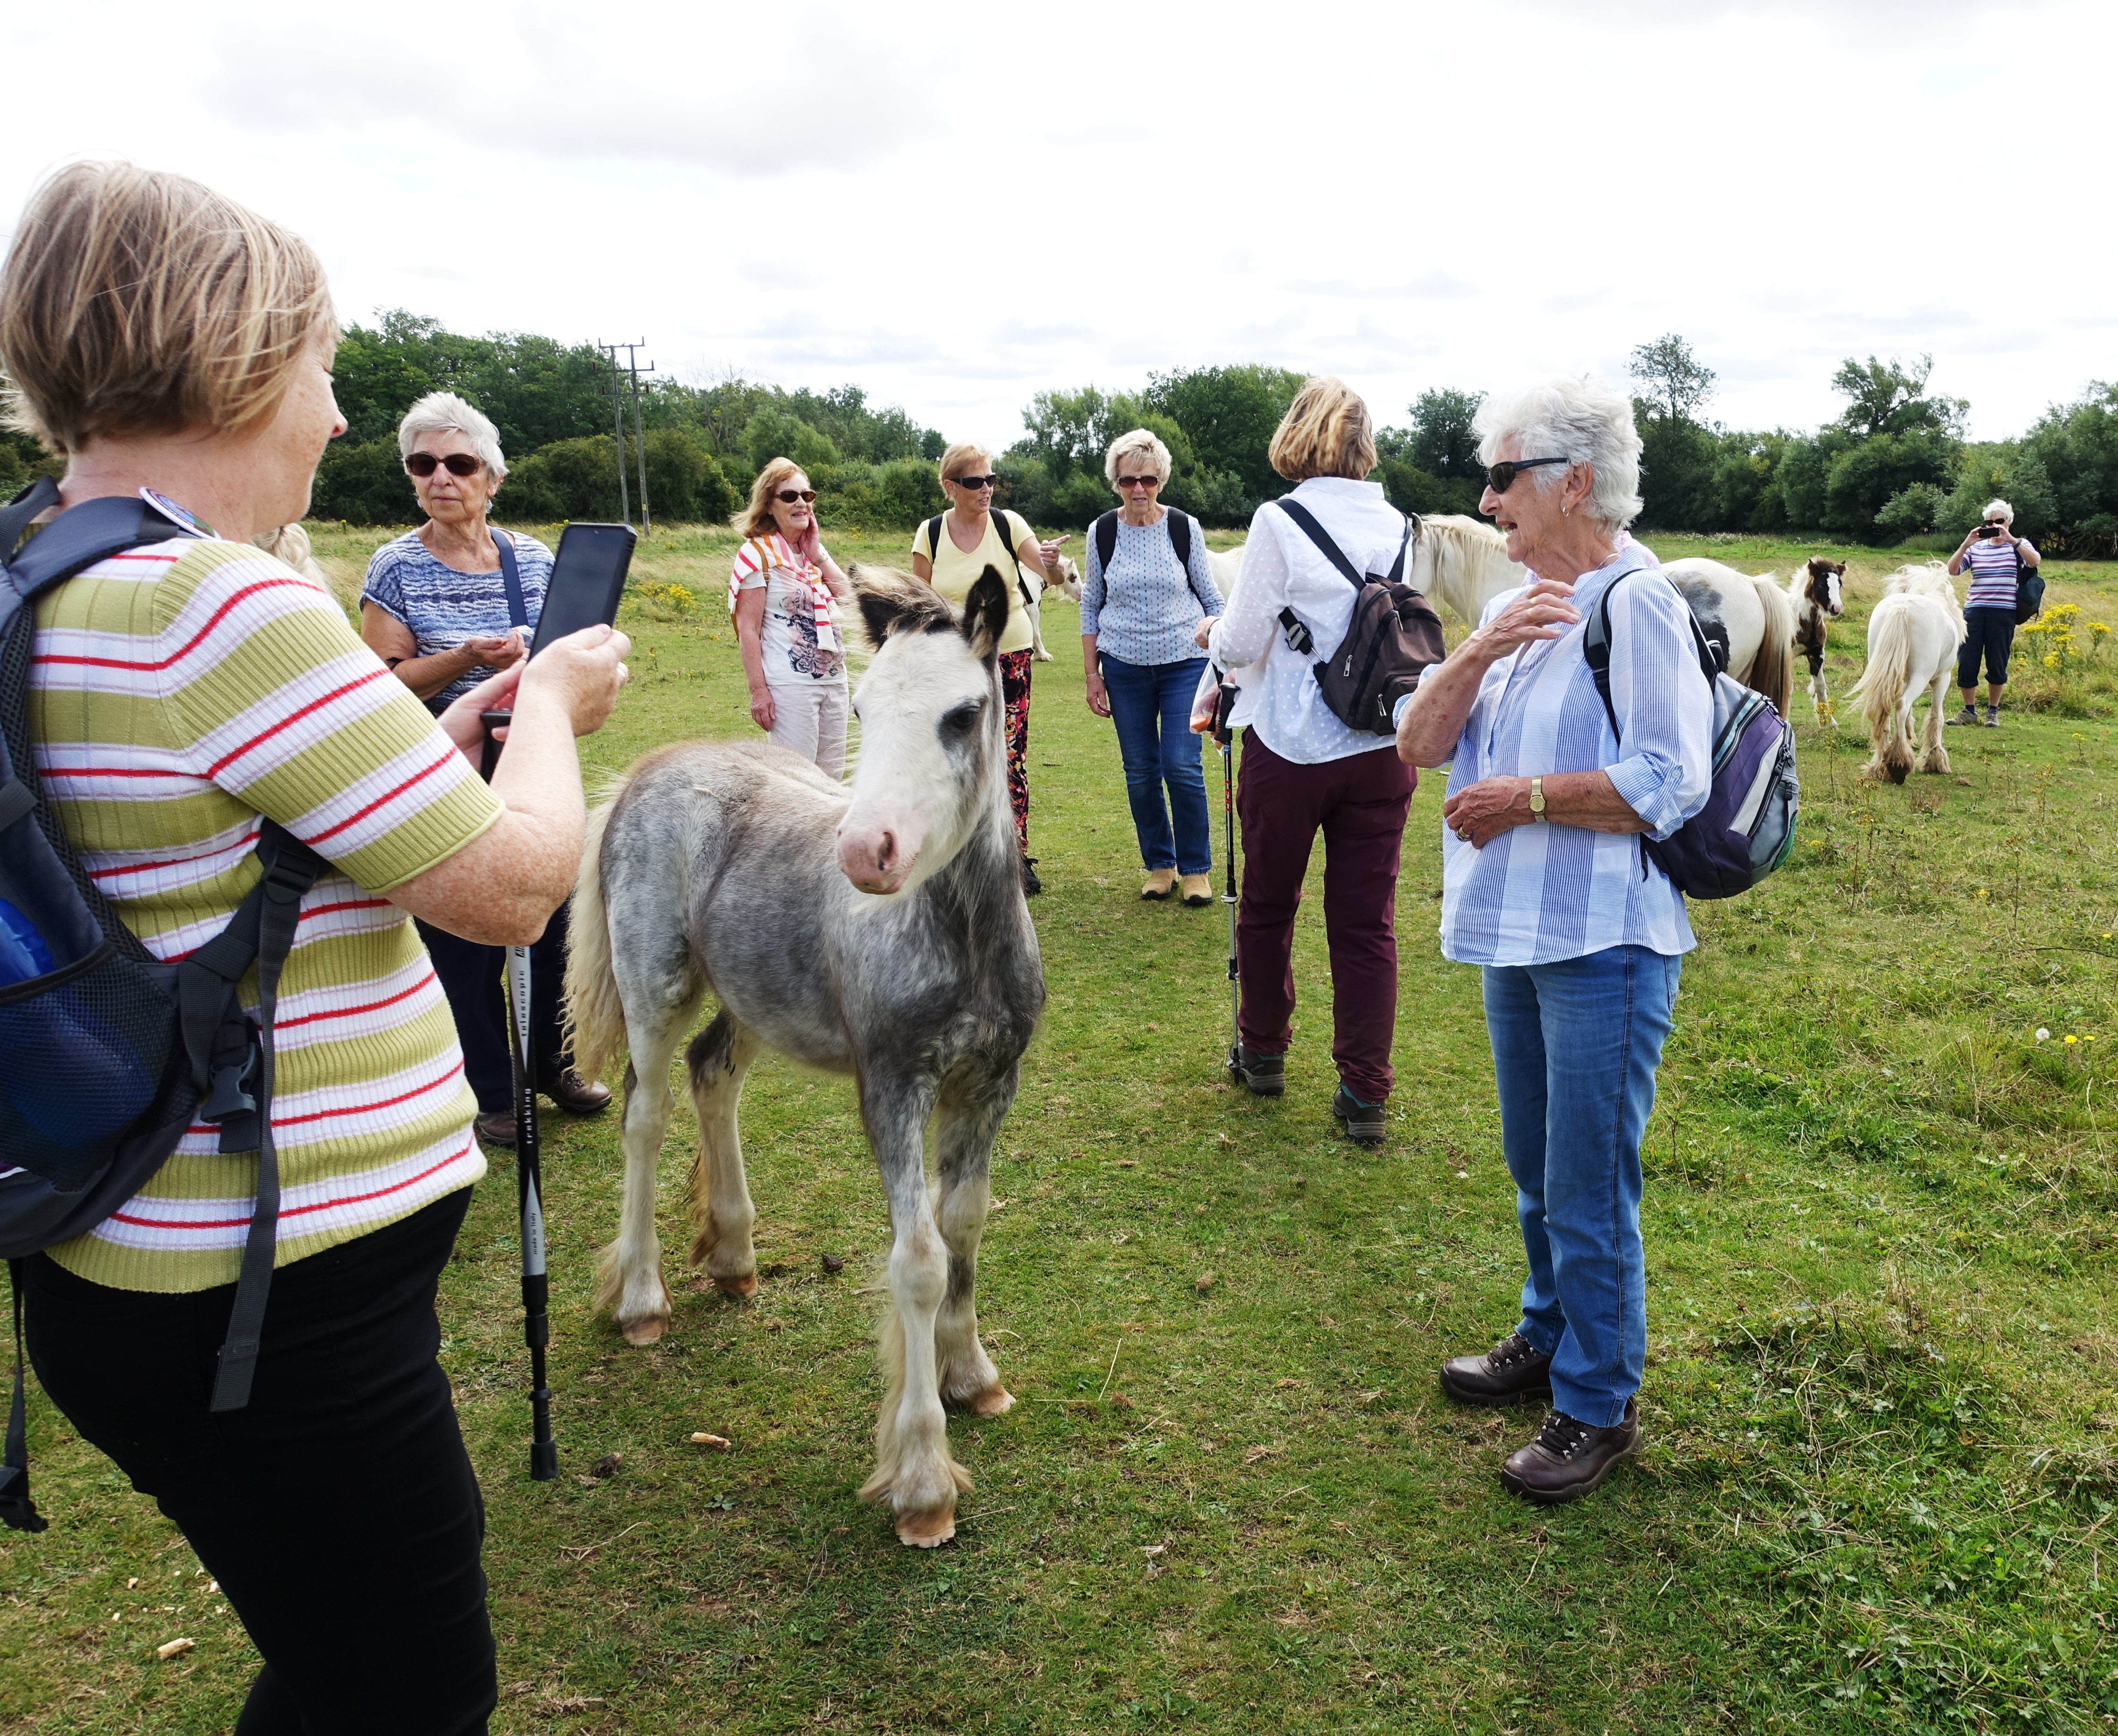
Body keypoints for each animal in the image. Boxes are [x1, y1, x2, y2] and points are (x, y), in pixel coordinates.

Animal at [563, 563, 1042, 1541]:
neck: (964, 941)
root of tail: (651, 767)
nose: (864, 851)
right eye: (860, 708)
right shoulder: (892, 1088)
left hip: (754, 998)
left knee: (713, 1073)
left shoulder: (989, 1084)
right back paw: (640, 1300)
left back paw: (735, 1258)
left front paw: (973, 1376)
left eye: (964, 713)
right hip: (653, 987)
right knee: (645, 1116)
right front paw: (923, 1482)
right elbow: (919, 1259)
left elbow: (965, 1228)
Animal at [1855, 563, 1965, 779]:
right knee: (1902, 706)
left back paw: (1880, 765)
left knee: (1884, 710)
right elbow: (1936, 717)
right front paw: (1935, 760)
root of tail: (1903, 608)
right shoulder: (1943, 679)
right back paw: (1899, 763)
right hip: (1922, 677)